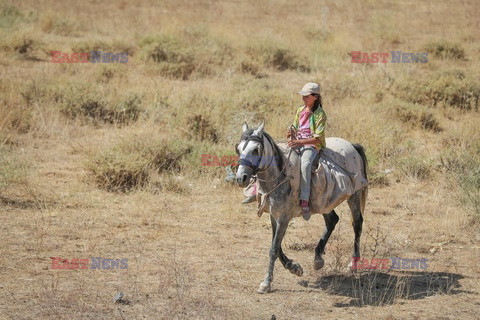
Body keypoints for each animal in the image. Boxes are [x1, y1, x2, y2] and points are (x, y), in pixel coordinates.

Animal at [235, 122, 368, 292]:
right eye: (238, 149)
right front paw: (294, 267)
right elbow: (277, 245)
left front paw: (266, 283)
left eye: (255, 150)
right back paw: (318, 258)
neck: (280, 176)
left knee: (357, 224)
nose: (241, 178)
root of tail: (352, 145)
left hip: (354, 196)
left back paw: (353, 262)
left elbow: (273, 249)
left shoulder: (283, 218)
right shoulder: (274, 216)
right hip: (323, 202)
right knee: (332, 220)